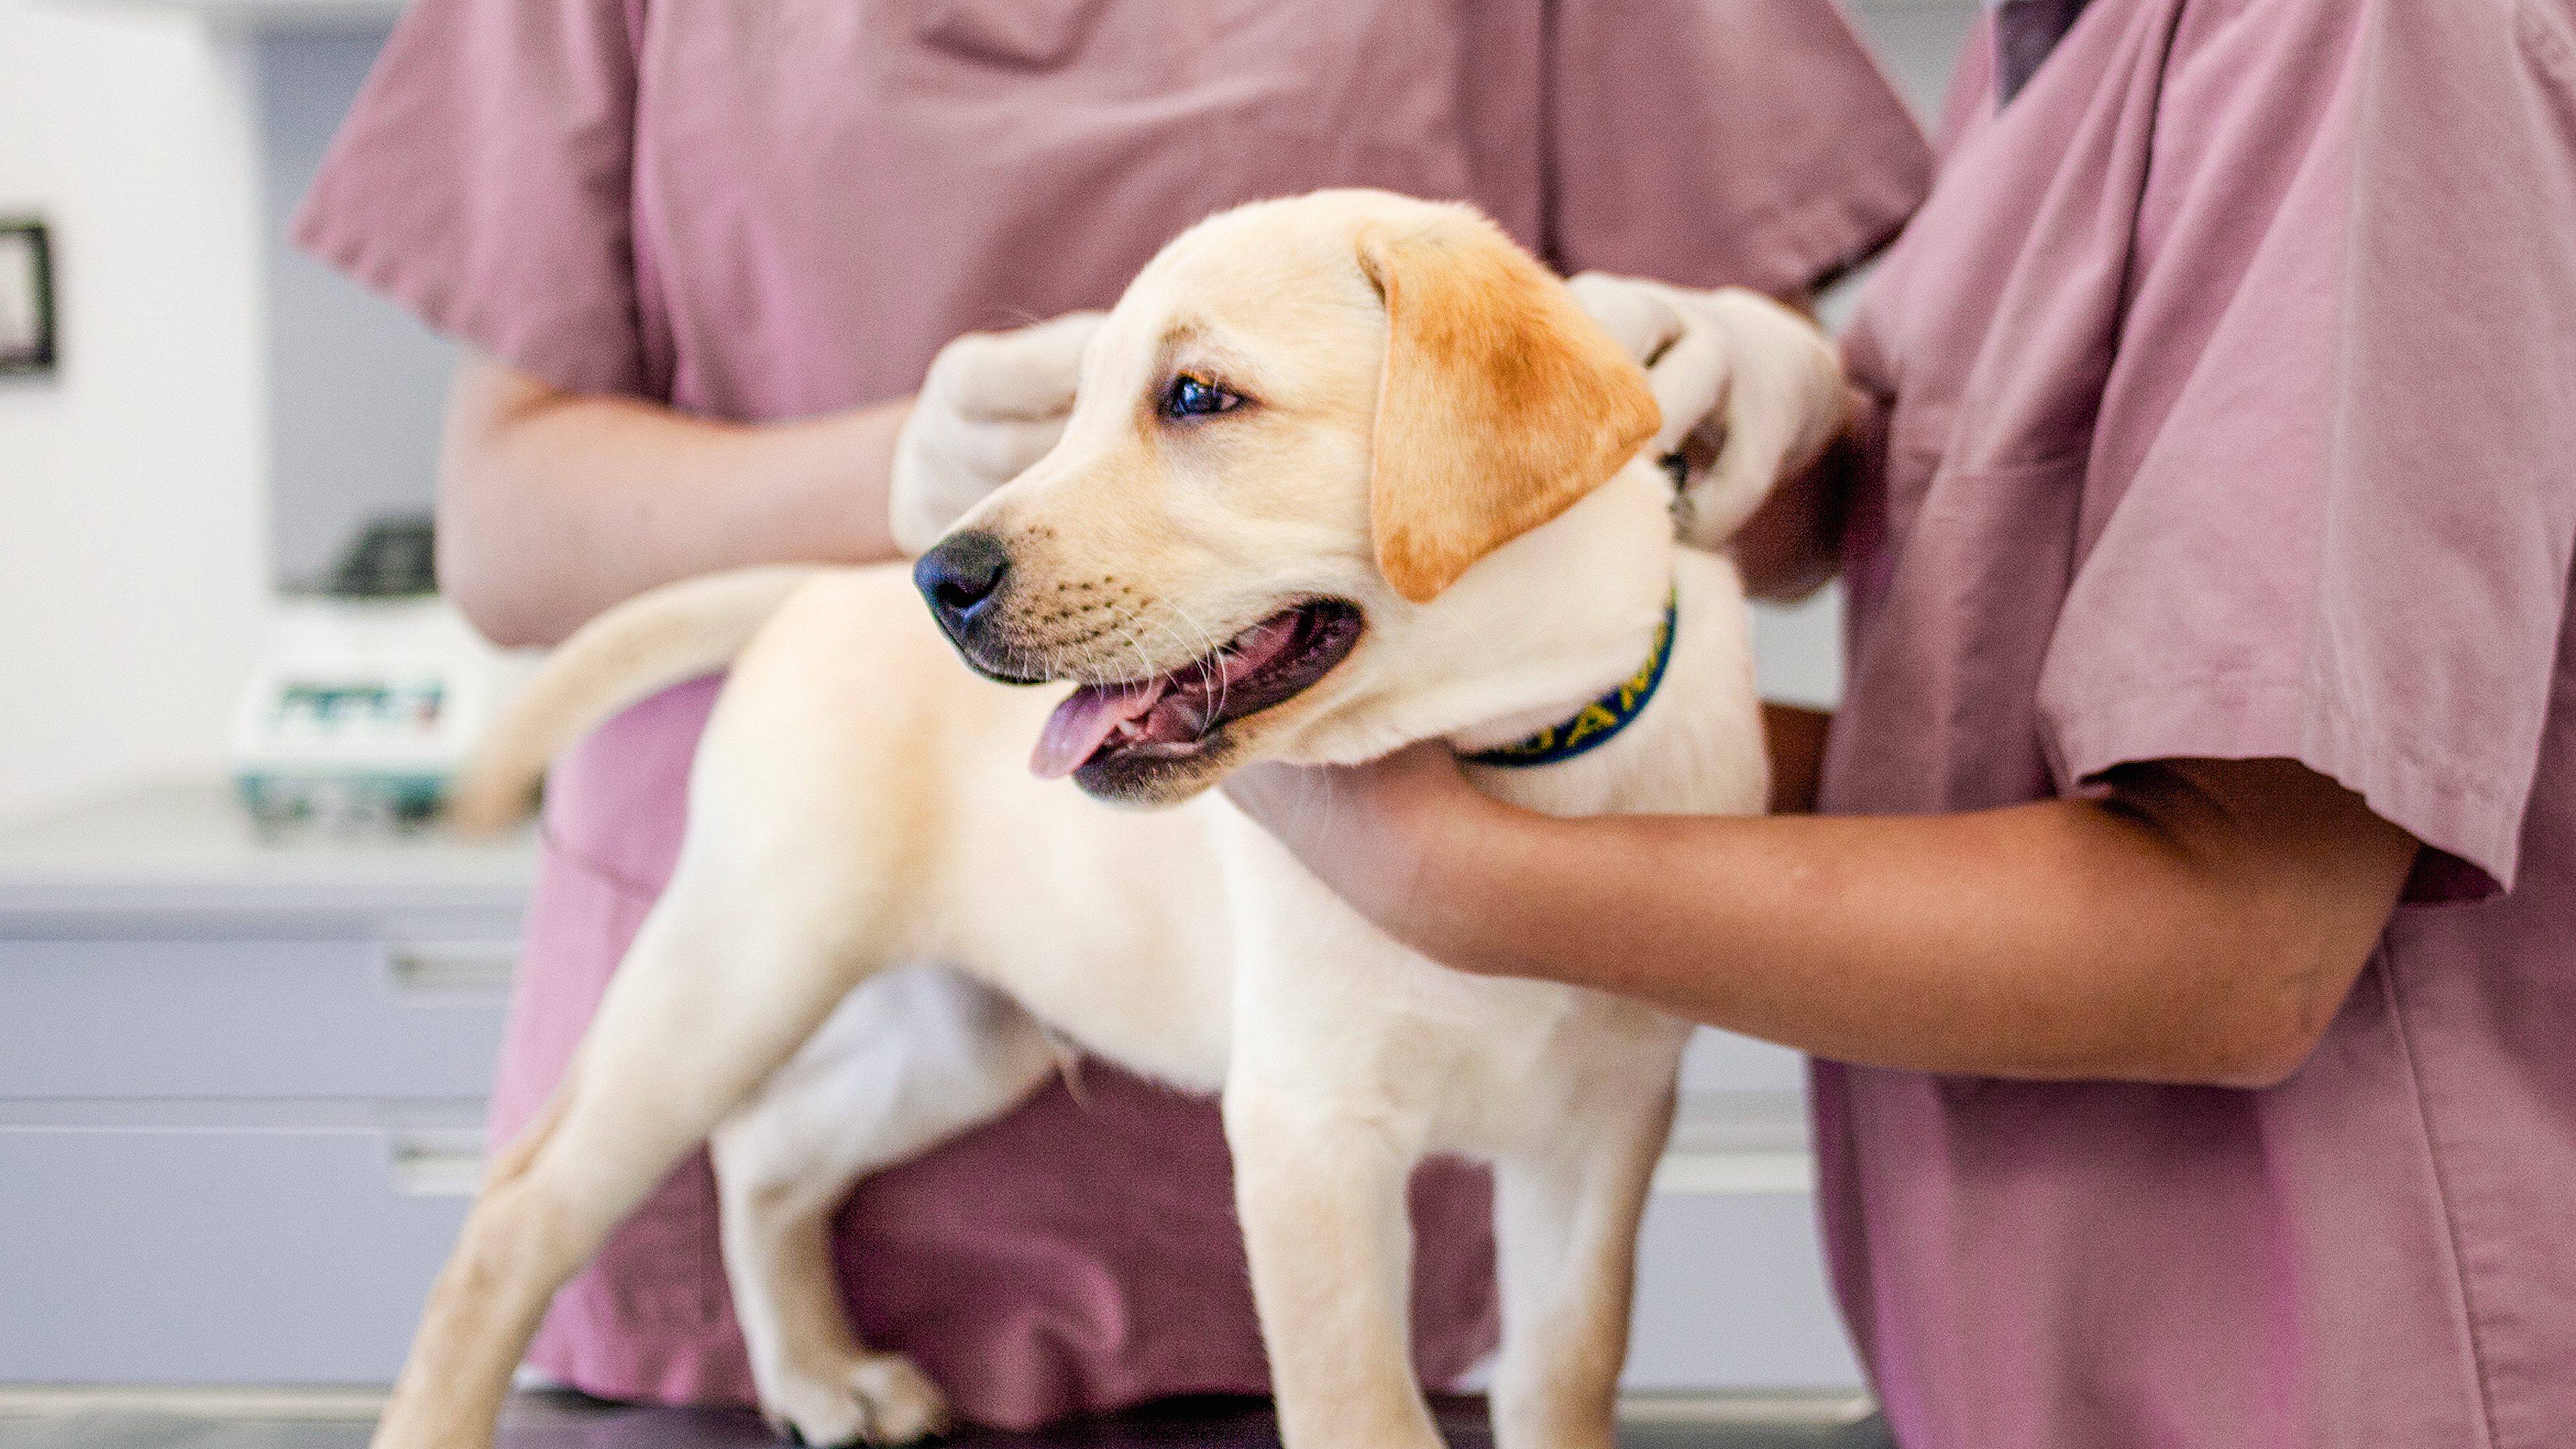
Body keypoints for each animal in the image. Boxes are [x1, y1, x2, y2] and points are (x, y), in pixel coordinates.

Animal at [391, 189, 1844, 1444]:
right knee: (520, 1213)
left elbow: (1565, 1377)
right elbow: (1361, 1412)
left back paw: (820, 1378)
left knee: (766, 1155)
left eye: (1196, 396)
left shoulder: (1597, 1139)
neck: (1515, 747)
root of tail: (817, 588)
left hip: (963, 1034)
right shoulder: (1307, 1134)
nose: (942, 581)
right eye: (1072, 407)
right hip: (739, 966)